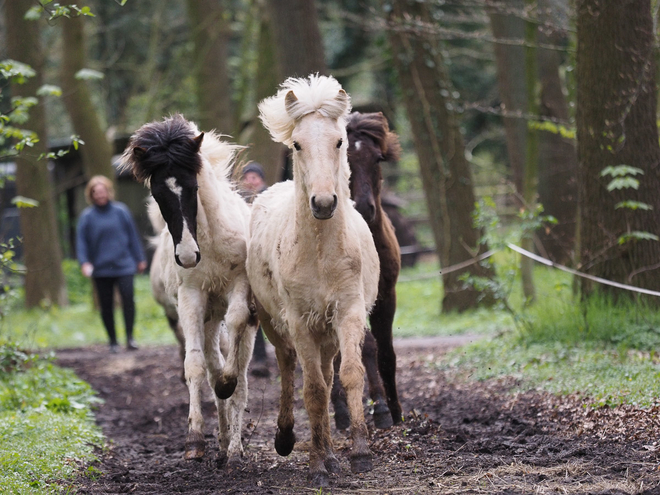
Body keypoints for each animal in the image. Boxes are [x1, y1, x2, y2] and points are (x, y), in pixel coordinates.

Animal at [121, 114, 258, 466]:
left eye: (193, 187)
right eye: (158, 194)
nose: (186, 256)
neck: (208, 241)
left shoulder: (240, 286)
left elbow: (236, 326)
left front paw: (227, 384)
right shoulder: (191, 297)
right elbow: (195, 366)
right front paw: (194, 441)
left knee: (241, 378)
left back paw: (235, 448)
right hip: (207, 319)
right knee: (211, 365)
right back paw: (222, 442)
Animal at [248, 75, 378, 486]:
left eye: (338, 141)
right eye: (297, 144)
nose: (323, 203)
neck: (320, 253)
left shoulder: (348, 312)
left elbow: (350, 376)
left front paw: (358, 452)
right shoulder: (300, 322)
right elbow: (315, 391)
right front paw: (317, 465)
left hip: (327, 332)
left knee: (326, 370)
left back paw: (333, 453)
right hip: (275, 324)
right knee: (290, 368)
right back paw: (288, 438)